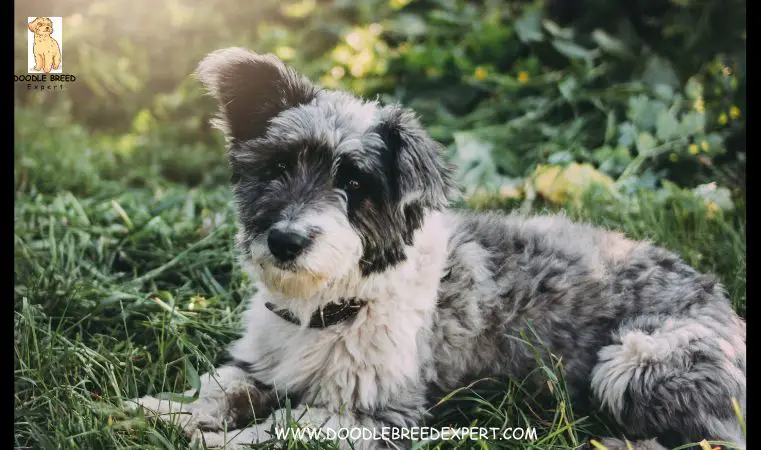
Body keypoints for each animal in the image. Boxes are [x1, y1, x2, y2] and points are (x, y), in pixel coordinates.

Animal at [129, 47, 744, 448]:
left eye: (355, 184)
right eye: (279, 167)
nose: (284, 240)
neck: (330, 307)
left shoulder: (380, 414)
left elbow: (278, 430)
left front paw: (210, 439)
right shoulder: (260, 365)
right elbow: (221, 388)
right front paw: (161, 413)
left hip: (634, 361)